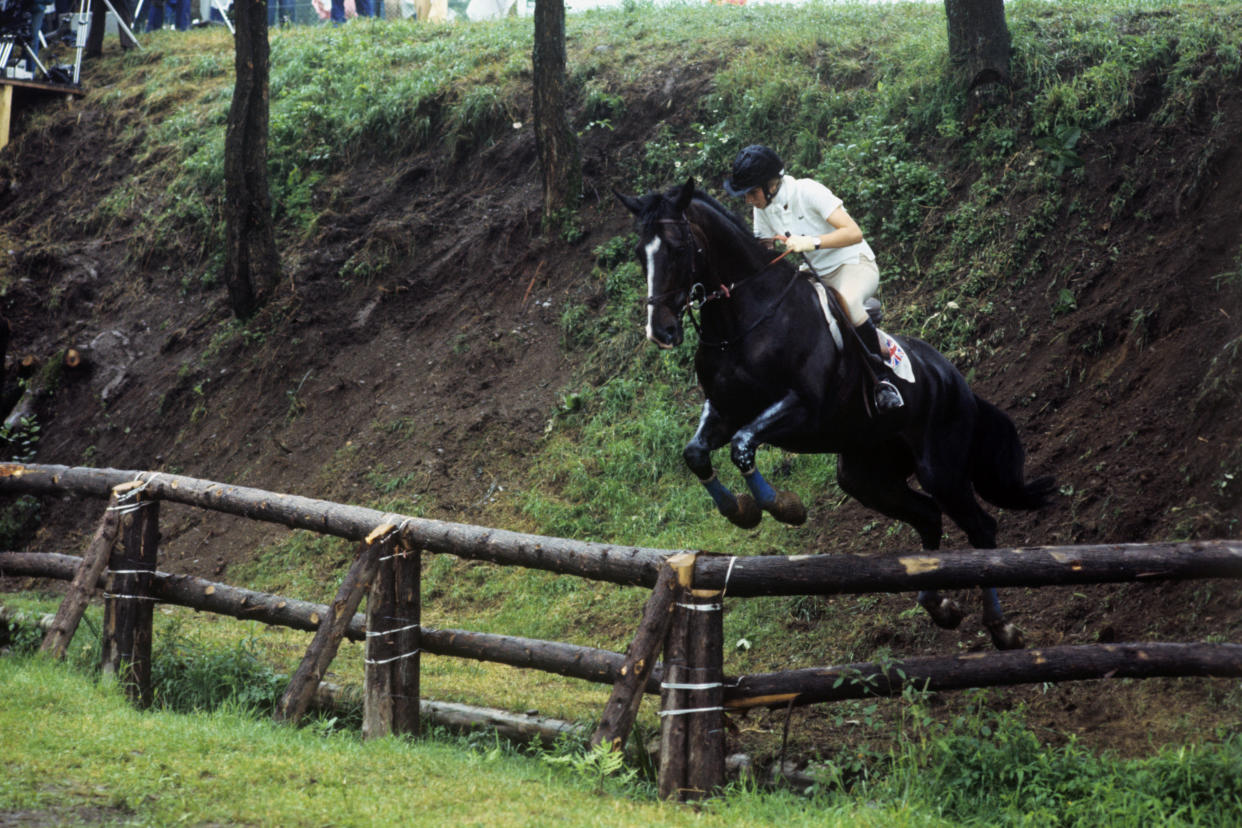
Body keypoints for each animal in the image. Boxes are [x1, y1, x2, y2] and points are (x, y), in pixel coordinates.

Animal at [616, 178, 1053, 650]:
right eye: (640, 253)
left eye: (678, 248)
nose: (661, 332)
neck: (744, 321)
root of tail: (957, 381)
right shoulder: (724, 410)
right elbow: (696, 453)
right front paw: (741, 511)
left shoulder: (803, 407)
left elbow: (742, 446)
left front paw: (784, 507)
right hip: (866, 477)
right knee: (928, 517)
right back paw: (940, 605)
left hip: (942, 469)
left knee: (980, 529)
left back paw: (1001, 627)